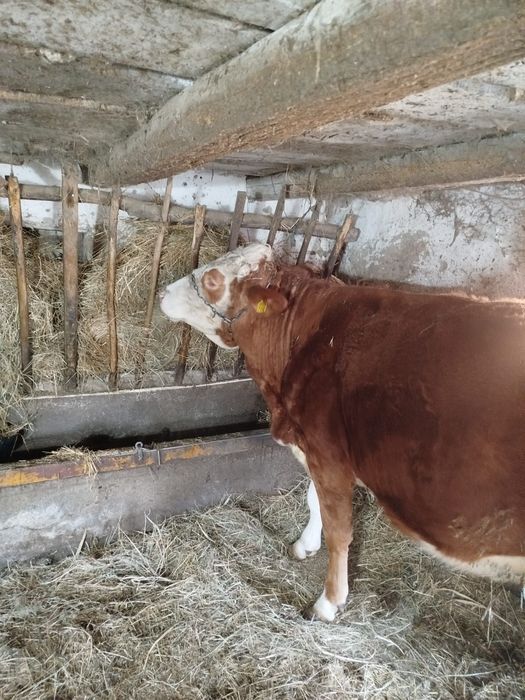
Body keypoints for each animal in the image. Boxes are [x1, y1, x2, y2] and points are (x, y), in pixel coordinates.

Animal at [160, 242, 525, 621]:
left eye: (212, 280)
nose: (163, 293)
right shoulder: (317, 449)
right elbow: (314, 501)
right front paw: (305, 545)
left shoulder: (328, 454)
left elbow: (339, 530)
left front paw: (329, 601)